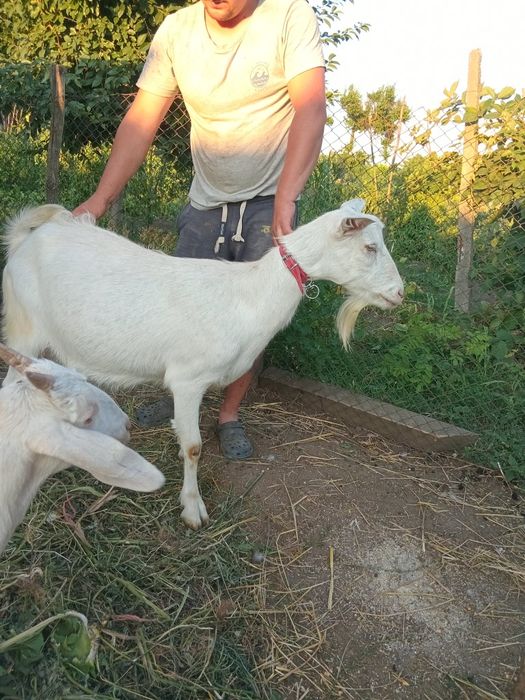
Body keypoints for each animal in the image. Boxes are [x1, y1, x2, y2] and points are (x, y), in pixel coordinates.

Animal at [2, 199, 404, 530]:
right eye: (369, 247)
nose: (400, 293)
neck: (248, 297)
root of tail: (26, 237)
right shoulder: (188, 379)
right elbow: (194, 445)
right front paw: (193, 508)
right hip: (22, 328)